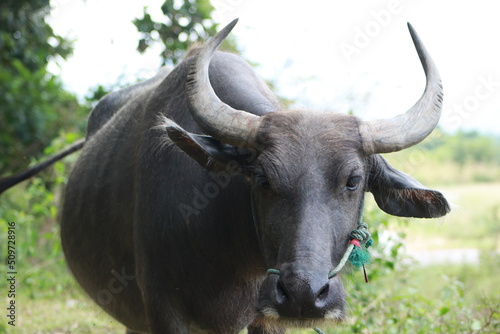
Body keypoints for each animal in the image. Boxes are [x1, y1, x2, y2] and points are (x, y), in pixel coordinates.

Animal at [0, 19, 450, 332]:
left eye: (353, 181)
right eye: (263, 180)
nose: (305, 295)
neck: (232, 251)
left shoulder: (264, 319)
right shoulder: (164, 312)